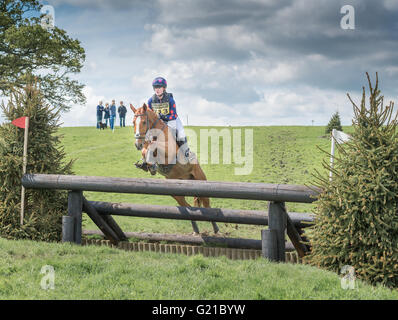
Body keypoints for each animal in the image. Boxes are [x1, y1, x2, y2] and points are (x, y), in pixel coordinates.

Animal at [131, 104, 219, 234]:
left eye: (143, 122)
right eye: (133, 123)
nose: (138, 144)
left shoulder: (169, 151)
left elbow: (154, 145)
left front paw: (151, 163)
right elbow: (146, 150)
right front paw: (148, 165)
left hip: (201, 181)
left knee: (206, 205)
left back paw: (216, 229)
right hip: (175, 191)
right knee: (187, 206)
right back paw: (195, 230)